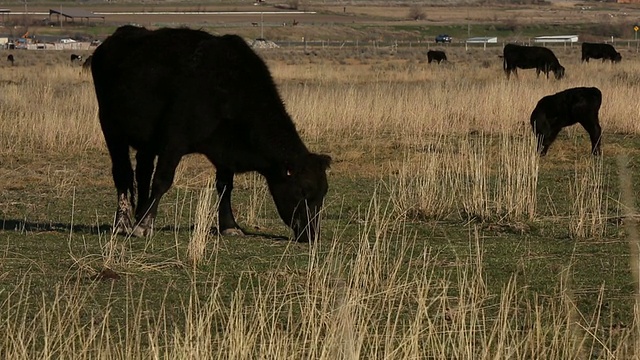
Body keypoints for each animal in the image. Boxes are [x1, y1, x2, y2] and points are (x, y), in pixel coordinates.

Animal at [92, 26, 332, 242]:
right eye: (303, 191)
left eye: (323, 194)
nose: (312, 235)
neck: (229, 88)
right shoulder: (173, 142)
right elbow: (162, 180)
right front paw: (143, 228)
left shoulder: (225, 152)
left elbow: (225, 186)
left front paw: (230, 225)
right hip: (111, 129)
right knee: (123, 173)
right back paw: (123, 223)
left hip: (147, 143)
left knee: (142, 172)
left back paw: (139, 214)